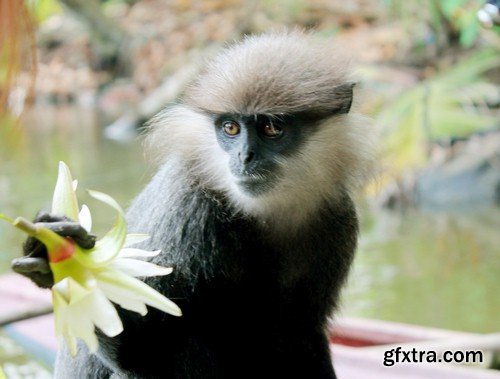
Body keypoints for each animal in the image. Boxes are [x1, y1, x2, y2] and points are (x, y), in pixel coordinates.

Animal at [11, 31, 374, 378]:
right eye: (231, 127)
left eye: (272, 128)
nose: (244, 157)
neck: (264, 212)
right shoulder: (186, 204)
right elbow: (138, 351)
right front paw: (56, 257)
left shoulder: (338, 216)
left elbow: (301, 335)